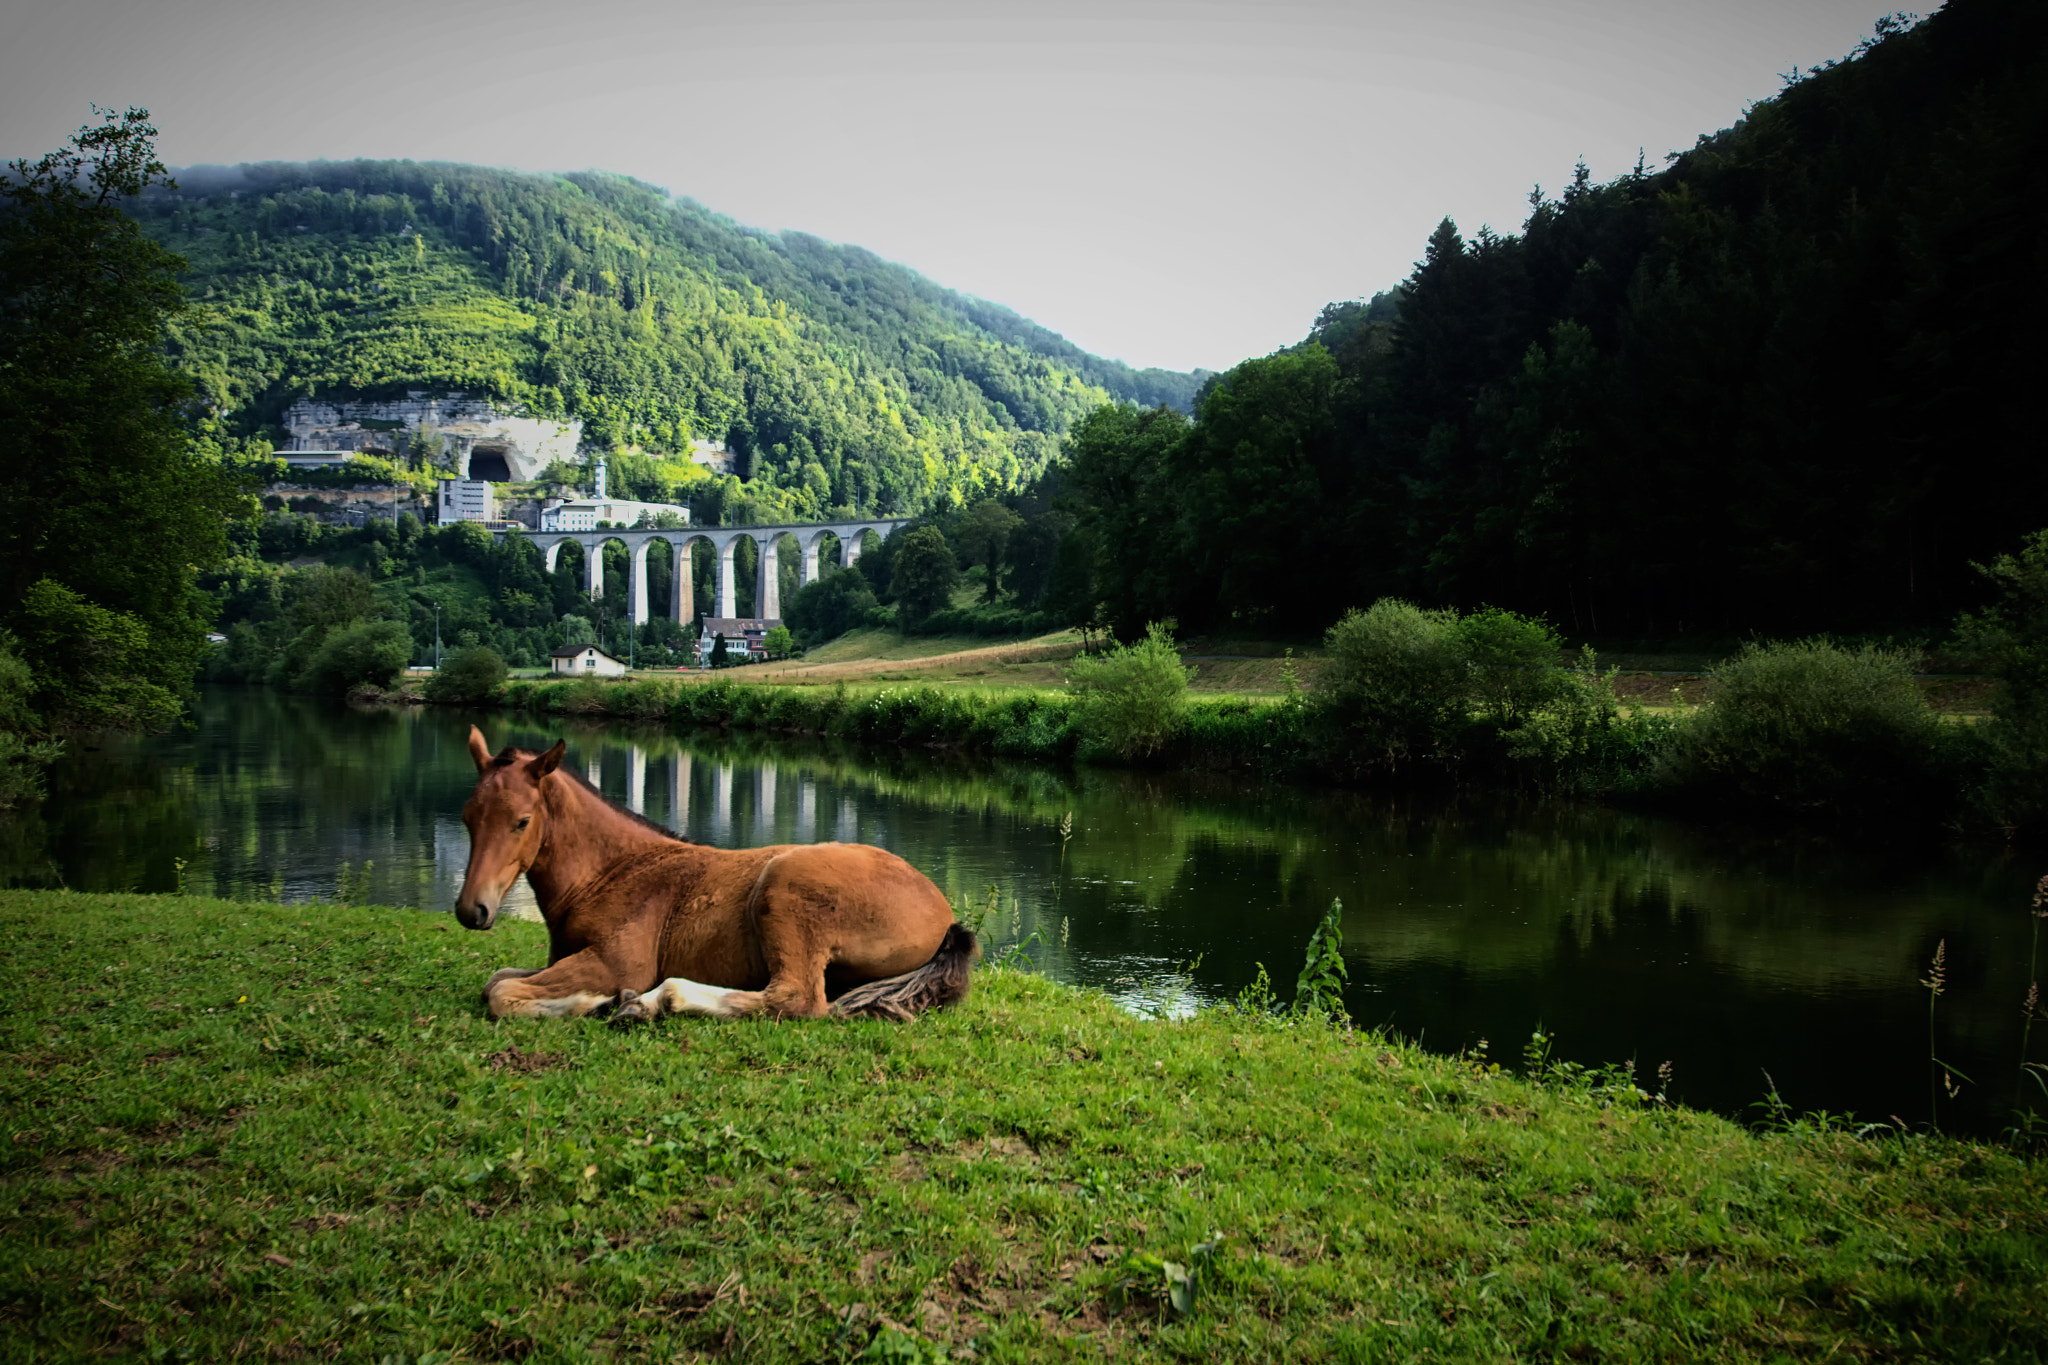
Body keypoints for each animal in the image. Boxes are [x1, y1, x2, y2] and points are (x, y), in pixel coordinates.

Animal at [453, 726, 977, 1024]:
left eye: (522, 821)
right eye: (467, 816)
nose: (471, 910)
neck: (610, 873)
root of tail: (943, 913)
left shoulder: (615, 964)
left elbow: (501, 993)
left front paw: (593, 1003)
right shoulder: (563, 959)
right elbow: (497, 979)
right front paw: (597, 1002)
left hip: (784, 887)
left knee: (796, 999)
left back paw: (656, 1001)